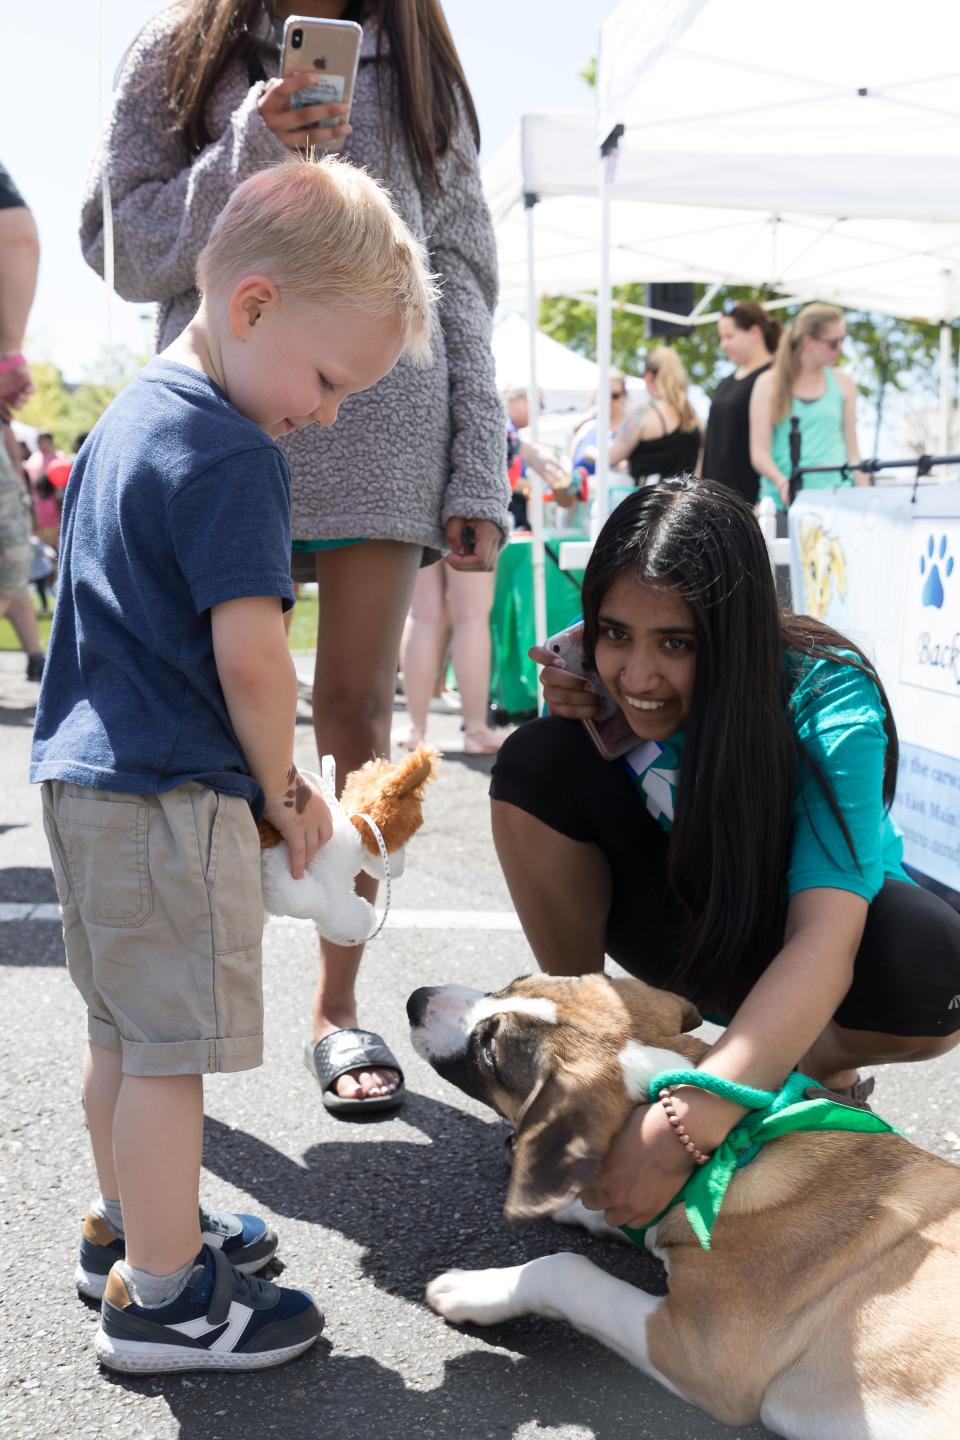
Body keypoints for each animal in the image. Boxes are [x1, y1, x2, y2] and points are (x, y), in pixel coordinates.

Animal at [408, 973, 960, 1434]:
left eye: (489, 1052)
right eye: (512, 982)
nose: (416, 1000)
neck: (735, 1147)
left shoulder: (703, 1359)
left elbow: (564, 1270)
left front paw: (474, 1289)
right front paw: (572, 1204)